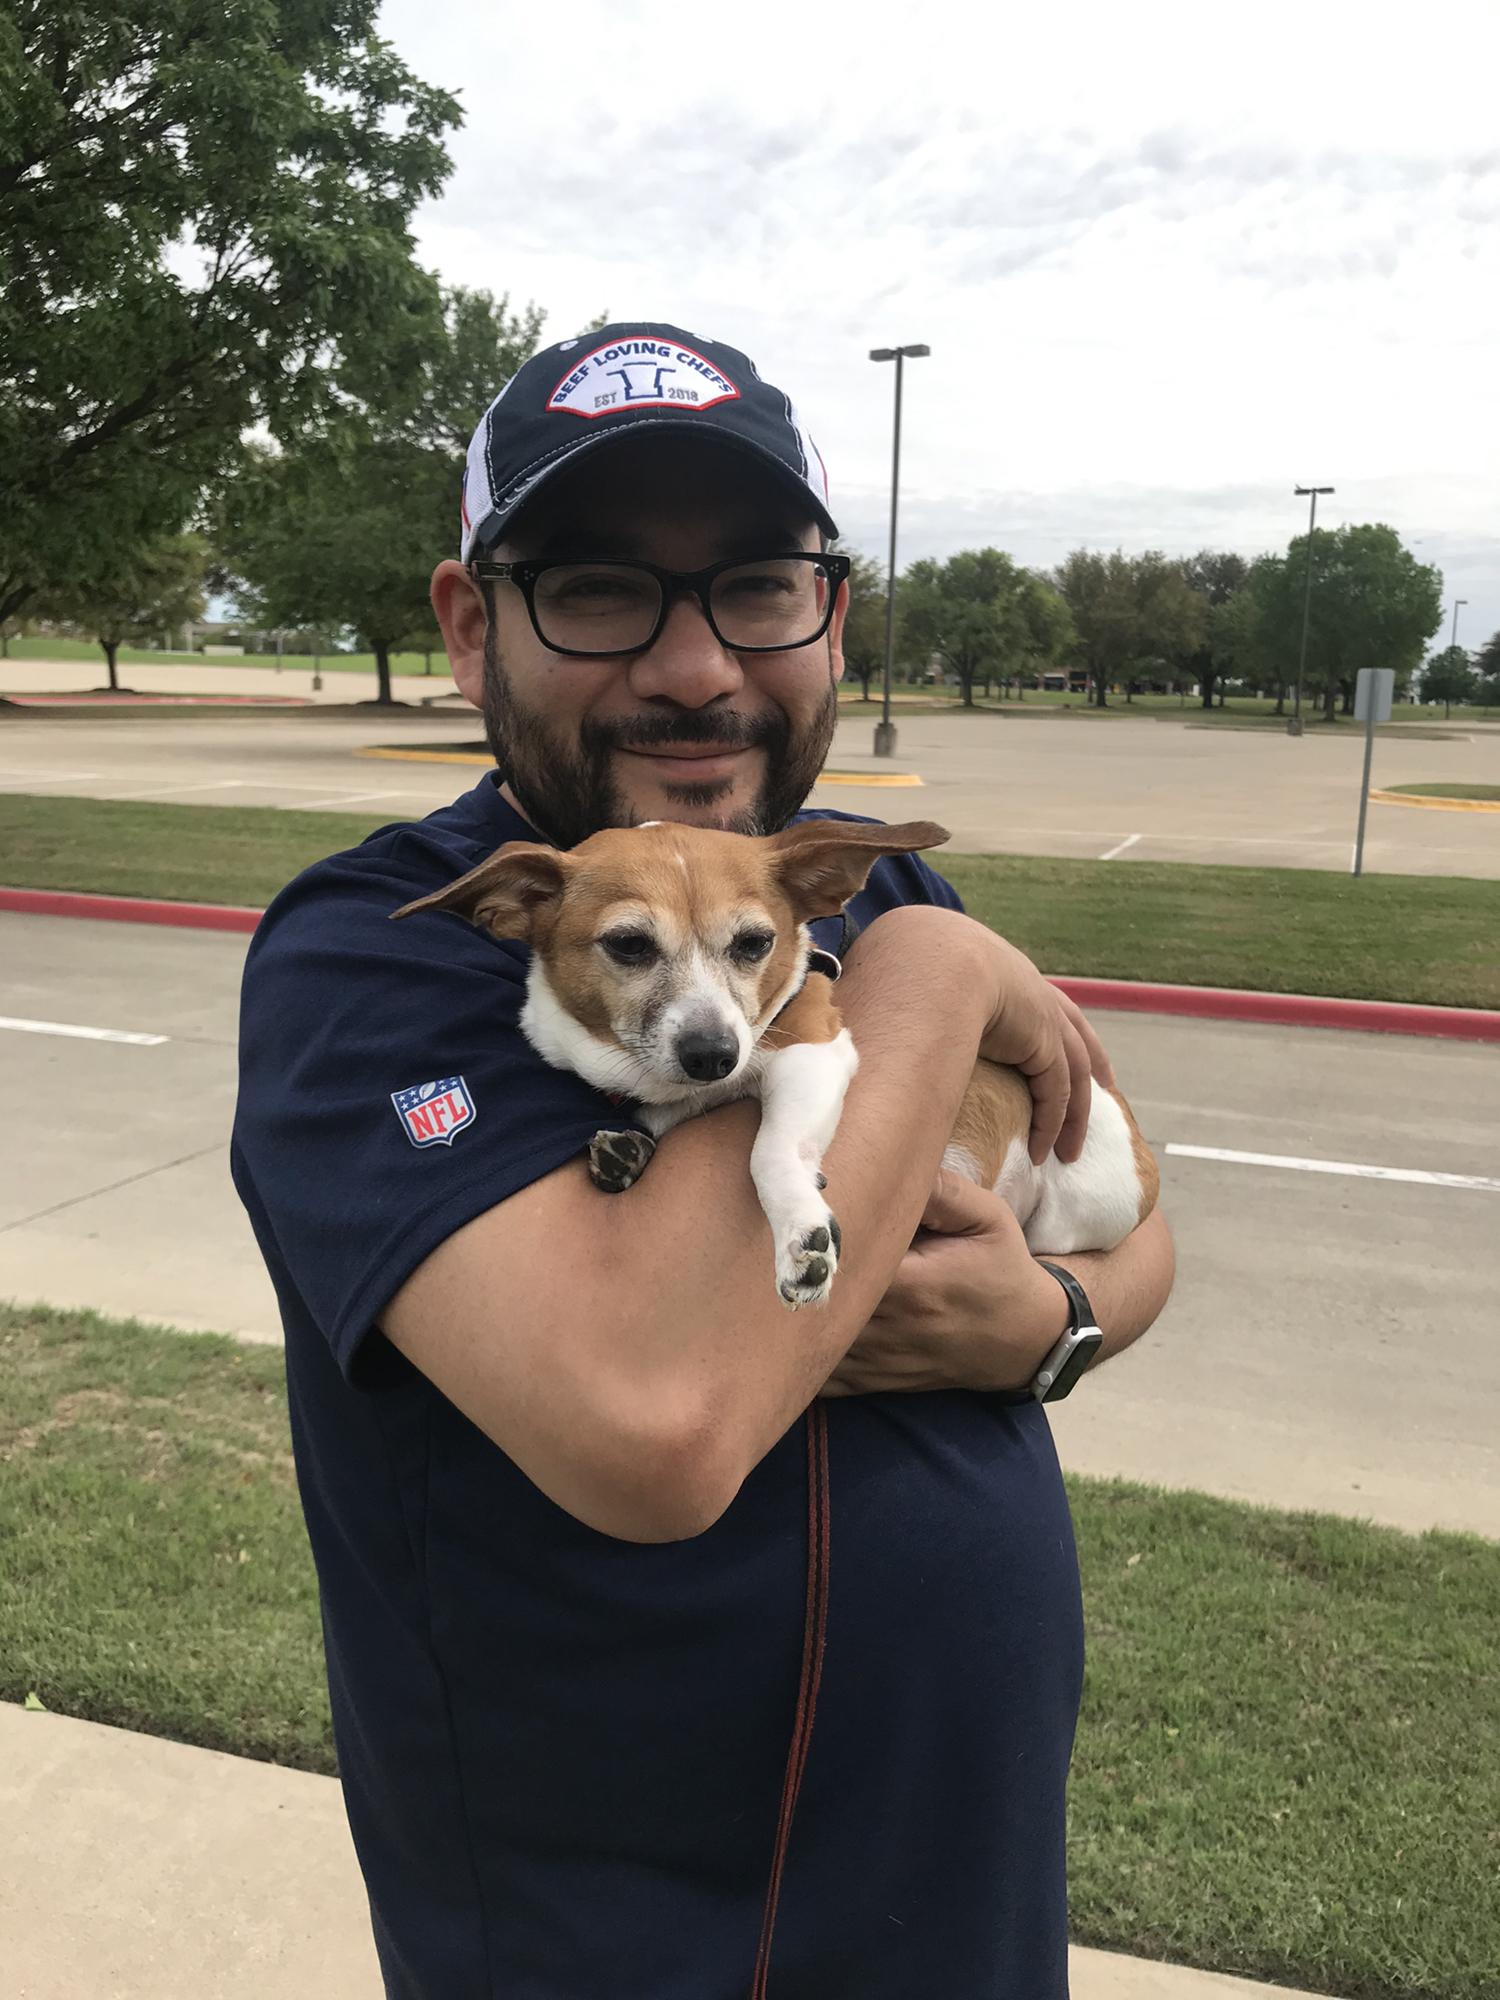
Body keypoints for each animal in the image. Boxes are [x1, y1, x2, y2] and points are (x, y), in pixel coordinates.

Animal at [394, 816, 1160, 1312]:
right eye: (629, 945)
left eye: (754, 943)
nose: (713, 1054)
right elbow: (656, 1119)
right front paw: (630, 1148)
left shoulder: (812, 1053)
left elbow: (770, 1153)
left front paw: (799, 1235)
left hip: (1075, 1211)